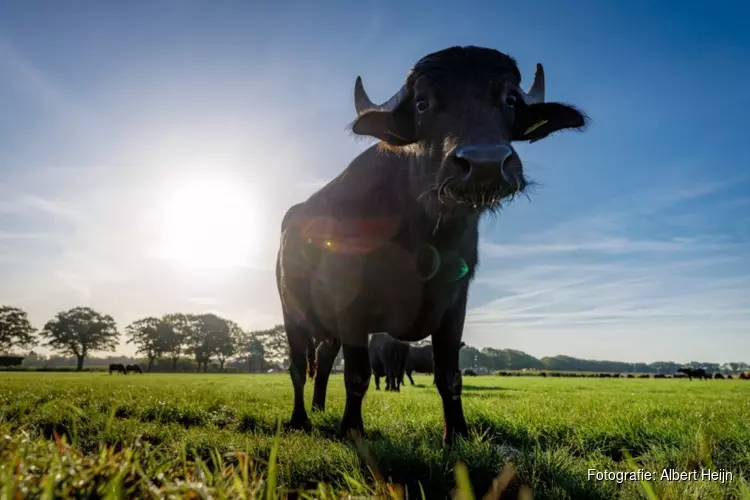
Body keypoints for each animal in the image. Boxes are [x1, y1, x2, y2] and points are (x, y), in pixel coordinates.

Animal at [276, 45, 588, 440]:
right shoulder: (351, 309)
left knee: (323, 362)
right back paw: (300, 418)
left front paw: (456, 433)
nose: (485, 163)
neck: (425, 234)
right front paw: (353, 430)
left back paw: (318, 408)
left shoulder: (455, 303)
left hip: (329, 332)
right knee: (299, 367)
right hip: (292, 313)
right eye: (423, 103)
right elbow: (357, 375)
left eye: (510, 99)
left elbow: (449, 376)